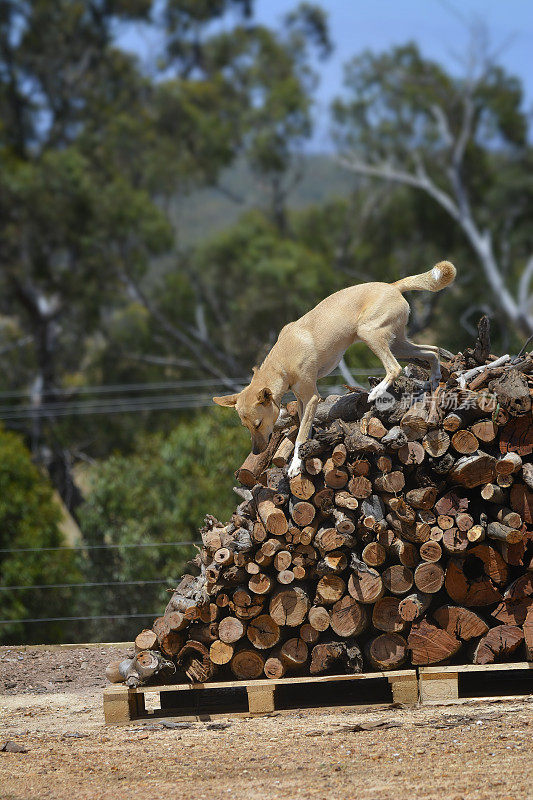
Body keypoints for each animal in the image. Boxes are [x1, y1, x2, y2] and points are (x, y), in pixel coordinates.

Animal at [214, 260, 456, 476]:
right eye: (245, 426)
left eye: (258, 424)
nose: (256, 452)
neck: (282, 363)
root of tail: (392, 285)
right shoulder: (301, 400)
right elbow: (304, 427)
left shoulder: (312, 397)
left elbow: (300, 434)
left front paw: (295, 465)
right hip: (397, 344)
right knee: (432, 351)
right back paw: (435, 377)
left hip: (370, 333)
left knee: (395, 368)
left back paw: (376, 392)